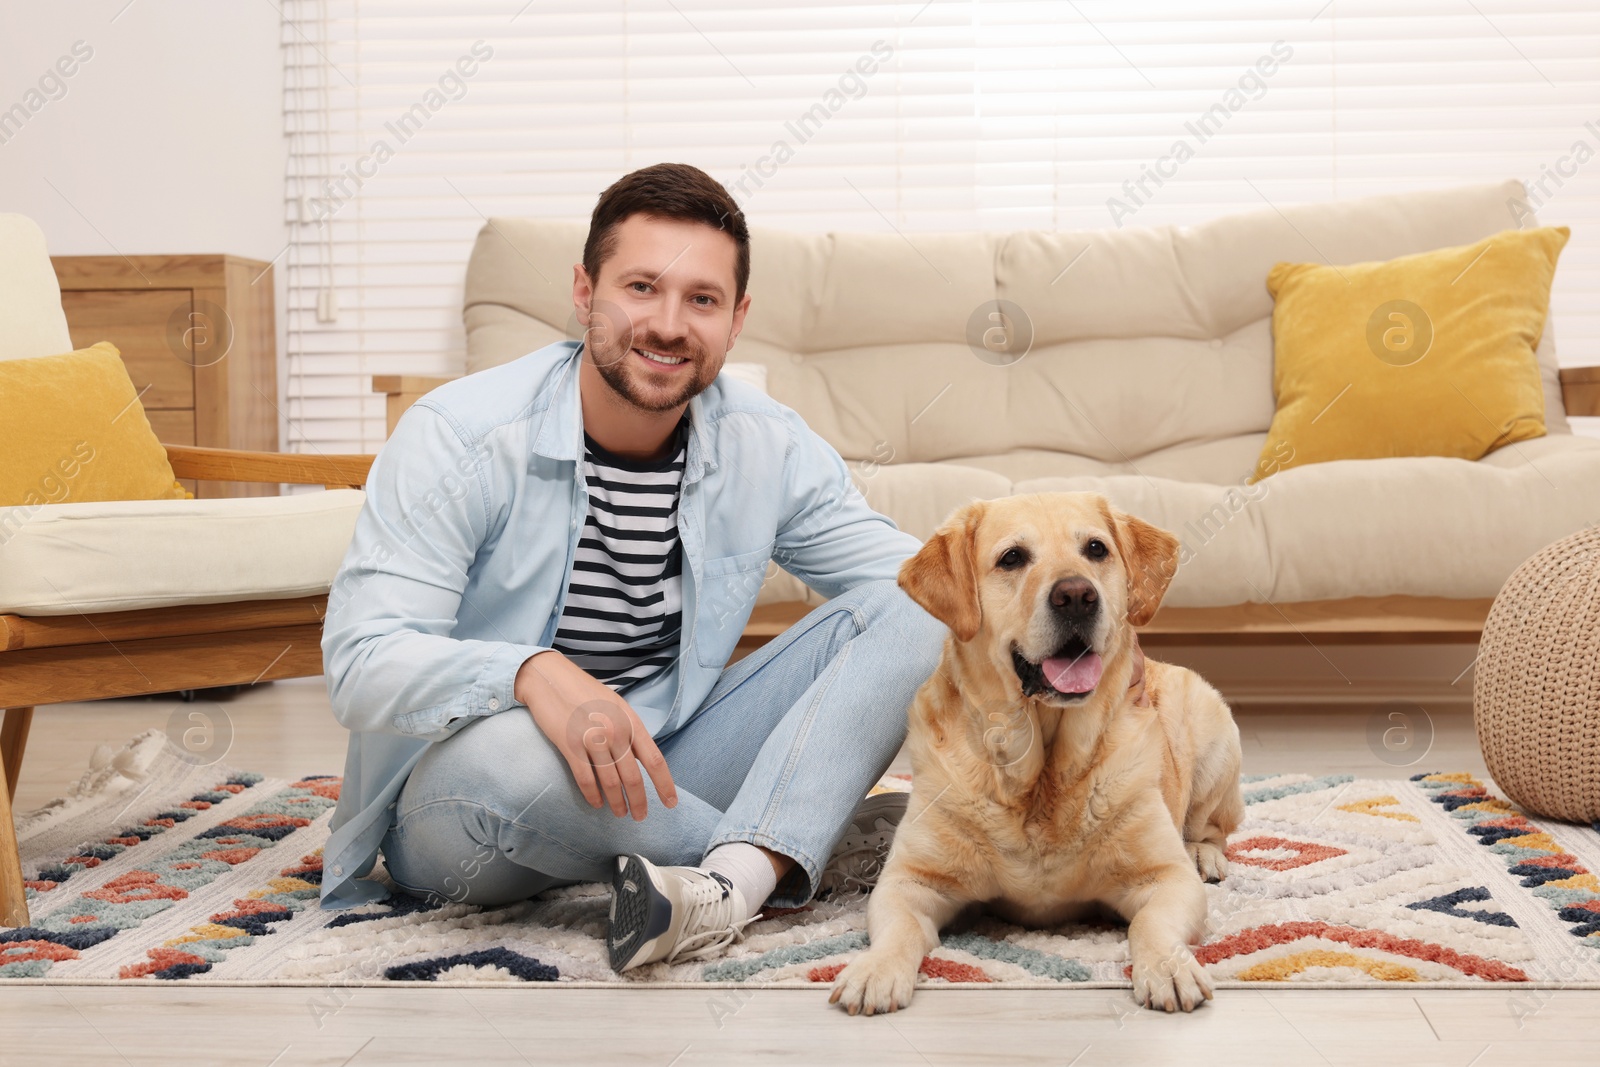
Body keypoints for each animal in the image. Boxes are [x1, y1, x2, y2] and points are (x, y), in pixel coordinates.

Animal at [832, 492, 1241, 1017]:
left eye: (1096, 549)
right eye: (1012, 558)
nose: (1077, 595)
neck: (1041, 770)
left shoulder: (1165, 878)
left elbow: (1149, 923)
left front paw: (1169, 968)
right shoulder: (911, 881)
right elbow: (899, 928)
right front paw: (876, 970)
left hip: (1214, 733)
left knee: (1211, 828)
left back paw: (1204, 855)